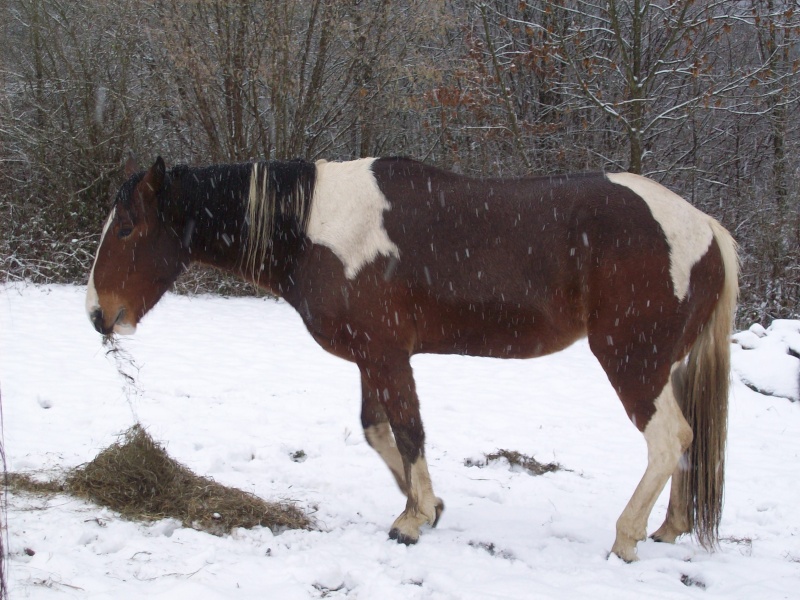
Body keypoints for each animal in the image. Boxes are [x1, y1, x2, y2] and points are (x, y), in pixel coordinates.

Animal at [87, 156, 736, 564]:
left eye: (127, 229)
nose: (98, 314)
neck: (318, 228)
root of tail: (705, 227)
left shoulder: (386, 354)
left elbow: (407, 428)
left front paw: (412, 520)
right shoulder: (372, 358)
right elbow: (378, 431)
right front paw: (430, 506)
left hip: (632, 360)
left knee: (668, 439)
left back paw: (626, 538)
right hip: (664, 365)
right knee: (688, 442)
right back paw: (668, 528)